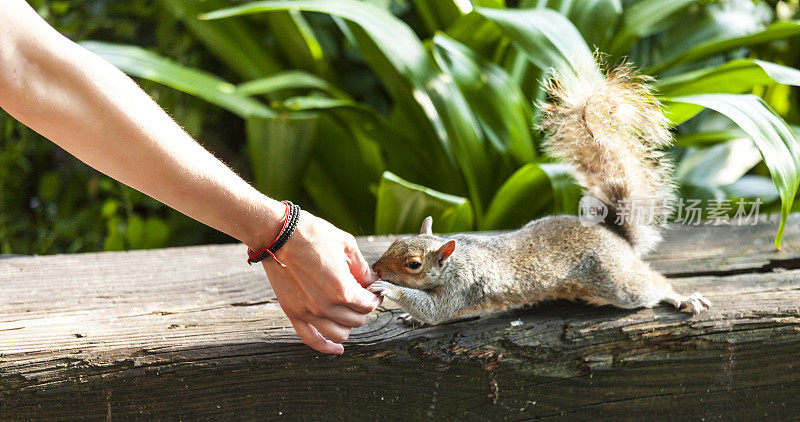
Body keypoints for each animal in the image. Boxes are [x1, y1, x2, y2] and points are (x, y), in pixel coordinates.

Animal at [368, 57, 712, 324]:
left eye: (413, 264)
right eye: (394, 242)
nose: (375, 268)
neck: (456, 260)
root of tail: (614, 235)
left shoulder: (460, 287)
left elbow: (435, 311)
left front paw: (389, 290)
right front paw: (407, 314)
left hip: (618, 282)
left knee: (652, 284)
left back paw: (681, 298)